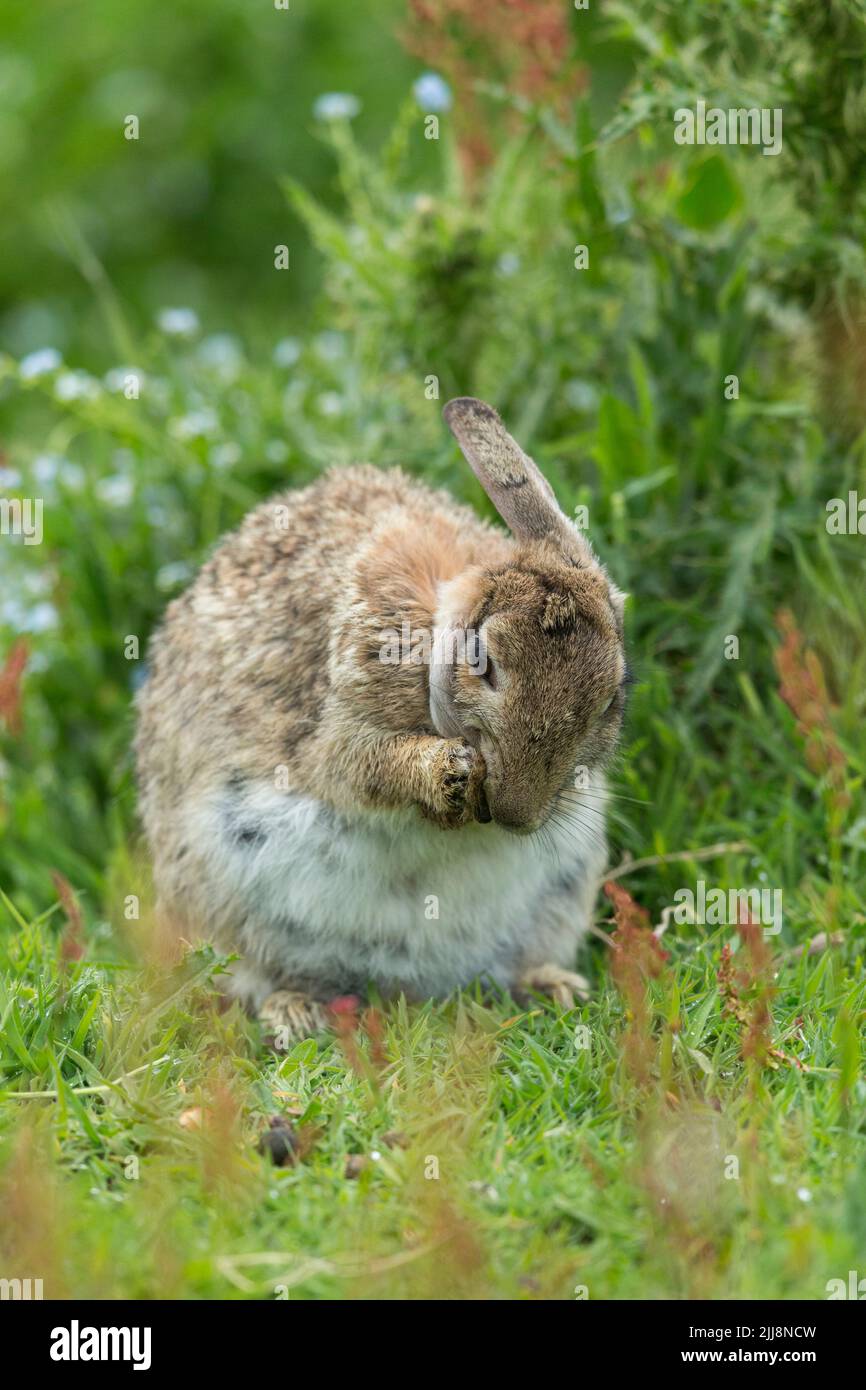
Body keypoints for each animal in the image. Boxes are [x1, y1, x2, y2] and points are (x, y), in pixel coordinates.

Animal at [135, 397, 628, 1039]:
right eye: (482, 661)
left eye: (610, 698)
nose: (516, 815)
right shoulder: (341, 717)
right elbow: (354, 768)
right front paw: (446, 773)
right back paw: (294, 1012)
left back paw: (551, 987)